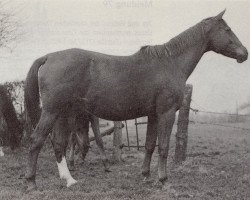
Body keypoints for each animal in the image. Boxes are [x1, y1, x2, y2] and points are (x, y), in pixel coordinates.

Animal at [23, 9, 248, 191]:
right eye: (227, 29)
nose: (244, 54)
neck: (170, 63)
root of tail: (49, 57)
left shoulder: (153, 115)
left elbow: (149, 145)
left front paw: (146, 176)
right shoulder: (166, 113)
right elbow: (163, 146)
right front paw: (163, 180)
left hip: (64, 114)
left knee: (58, 144)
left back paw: (69, 180)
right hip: (52, 112)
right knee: (37, 140)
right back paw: (31, 182)